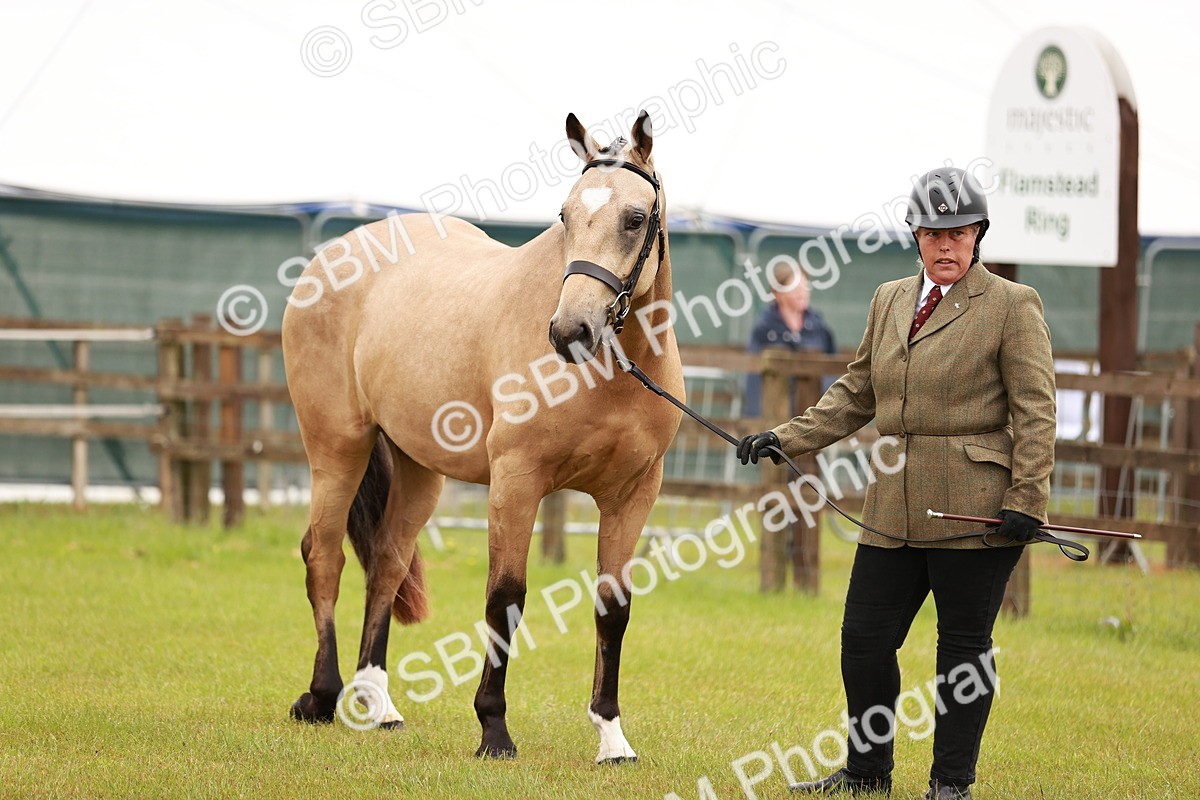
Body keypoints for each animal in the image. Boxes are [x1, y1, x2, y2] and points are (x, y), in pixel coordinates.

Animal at [281, 110, 683, 763]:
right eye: (565, 215)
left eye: (634, 218)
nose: (570, 330)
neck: (611, 373)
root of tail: (332, 257)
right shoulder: (517, 482)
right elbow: (506, 599)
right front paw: (494, 730)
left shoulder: (633, 495)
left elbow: (612, 609)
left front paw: (611, 736)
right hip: (337, 448)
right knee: (324, 557)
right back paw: (320, 695)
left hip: (419, 468)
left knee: (386, 563)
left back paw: (378, 702)